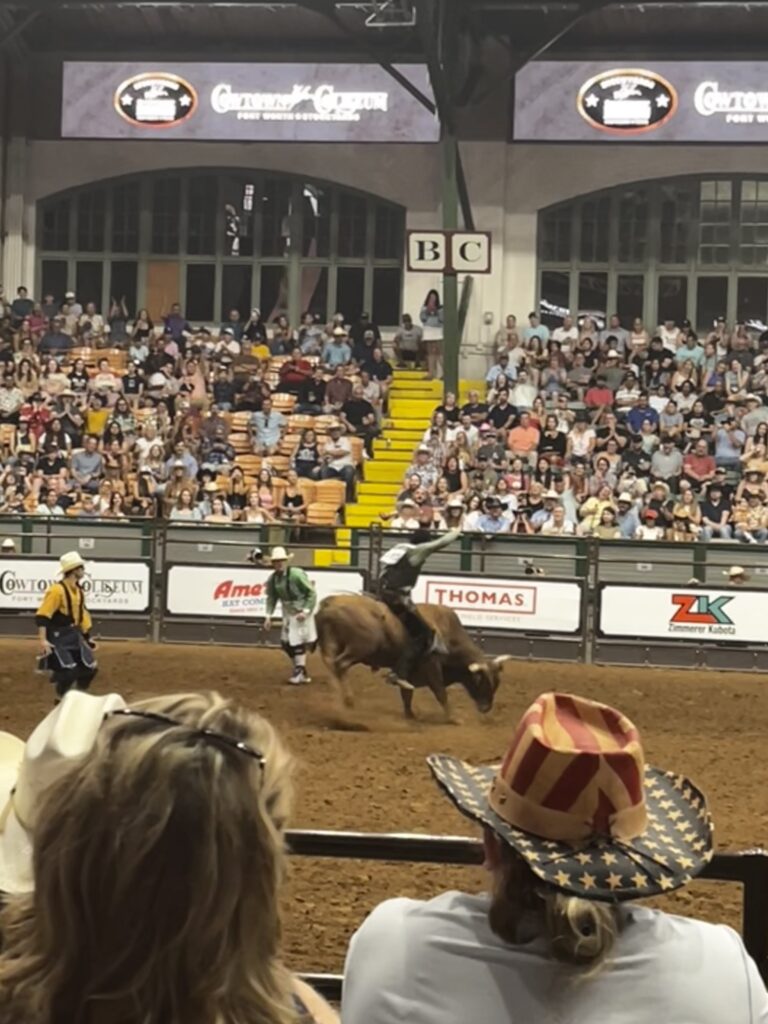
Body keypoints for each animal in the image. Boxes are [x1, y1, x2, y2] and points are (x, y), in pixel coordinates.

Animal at [315, 593, 507, 720]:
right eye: (481, 681)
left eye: (496, 683)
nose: (486, 707)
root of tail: (330, 602)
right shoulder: (432, 665)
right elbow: (440, 692)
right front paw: (453, 717)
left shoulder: (408, 672)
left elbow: (407, 693)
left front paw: (410, 715)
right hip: (361, 646)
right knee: (340, 664)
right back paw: (348, 700)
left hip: (331, 643)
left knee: (331, 664)